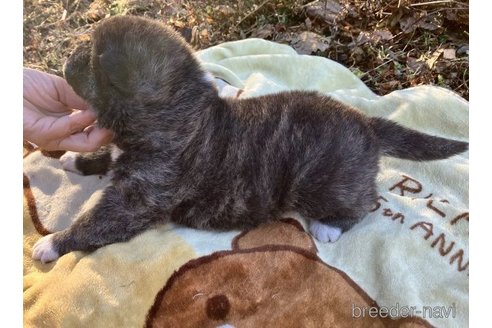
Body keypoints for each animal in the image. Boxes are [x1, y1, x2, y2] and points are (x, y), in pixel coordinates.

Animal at [31, 15, 468, 262]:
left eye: (90, 54)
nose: (68, 56)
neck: (174, 107)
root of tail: (367, 123)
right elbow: (107, 154)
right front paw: (76, 159)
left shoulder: (135, 199)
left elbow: (96, 221)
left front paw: (53, 244)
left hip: (324, 182)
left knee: (363, 202)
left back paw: (328, 226)